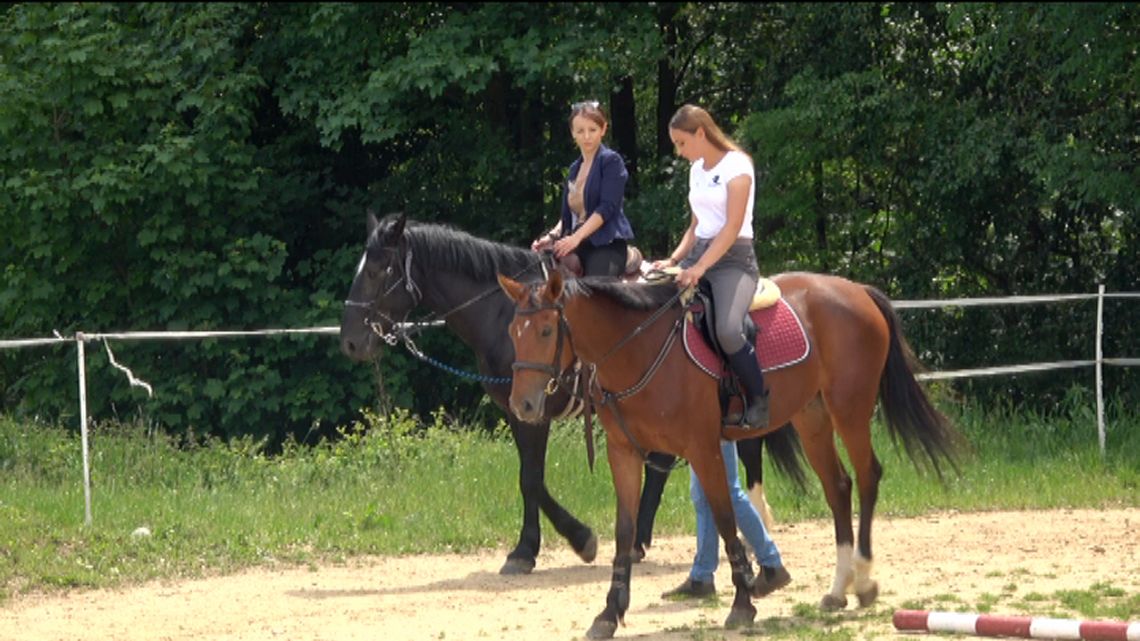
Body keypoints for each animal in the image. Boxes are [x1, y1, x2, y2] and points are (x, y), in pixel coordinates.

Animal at [337, 212, 802, 570]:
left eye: (377, 270)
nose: (351, 343)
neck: (504, 313)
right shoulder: (519, 409)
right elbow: (531, 477)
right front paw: (546, 544)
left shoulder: (537, 411)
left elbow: (531, 478)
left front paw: (563, 543)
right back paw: (641, 539)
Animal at [499, 266, 962, 634]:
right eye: (512, 334)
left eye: (546, 330)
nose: (523, 406)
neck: (638, 349)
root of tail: (857, 291)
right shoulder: (624, 453)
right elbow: (625, 531)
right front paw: (609, 614)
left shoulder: (703, 449)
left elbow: (724, 518)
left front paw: (742, 603)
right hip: (812, 418)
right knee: (838, 487)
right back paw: (838, 587)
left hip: (849, 409)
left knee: (866, 478)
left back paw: (863, 579)